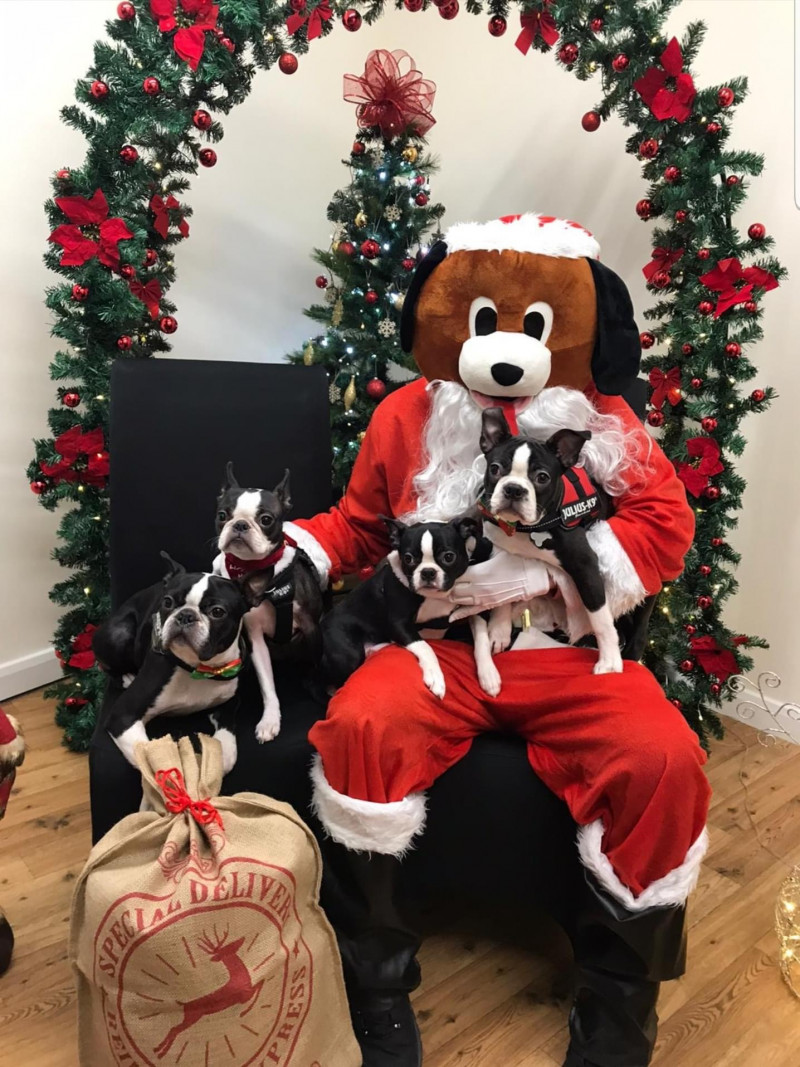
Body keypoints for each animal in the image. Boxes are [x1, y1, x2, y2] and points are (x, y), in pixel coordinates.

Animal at [92, 554, 251, 772]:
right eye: (167, 601)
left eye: (218, 612)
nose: (185, 615)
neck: (195, 668)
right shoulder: (121, 715)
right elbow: (152, 759)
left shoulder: (230, 698)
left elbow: (226, 737)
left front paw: (221, 756)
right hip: (118, 633)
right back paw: (126, 677)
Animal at [216, 463, 326, 746]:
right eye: (222, 515)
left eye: (266, 519)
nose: (239, 525)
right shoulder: (255, 639)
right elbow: (267, 685)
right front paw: (270, 720)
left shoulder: (311, 628)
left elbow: (317, 666)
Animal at [320, 516, 501, 699]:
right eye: (408, 558)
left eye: (449, 557)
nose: (427, 572)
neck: (436, 597)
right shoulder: (398, 624)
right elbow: (425, 646)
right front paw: (435, 676)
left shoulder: (473, 607)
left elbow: (482, 637)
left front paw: (489, 674)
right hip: (348, 654)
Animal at [480, 407, 622, 674]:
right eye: (494, 469)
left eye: (542, 477)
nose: (513, 489)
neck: (525, 528)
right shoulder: (501, 551)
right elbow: (503, 595)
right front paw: (499, 630)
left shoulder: (585, 565)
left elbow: (600, 616)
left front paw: (609, 661)